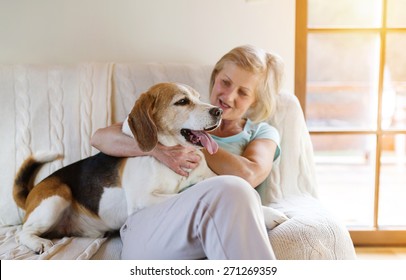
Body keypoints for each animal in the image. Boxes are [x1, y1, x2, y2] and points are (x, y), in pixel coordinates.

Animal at [11, 81, 286, 254]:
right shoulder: (144, 198)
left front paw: (268, 213)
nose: (218, 111)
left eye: (199, 98)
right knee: (22, 232)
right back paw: (37, 243)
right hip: (56, 198)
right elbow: (187, 193)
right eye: (182, 101)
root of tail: (33, 192)